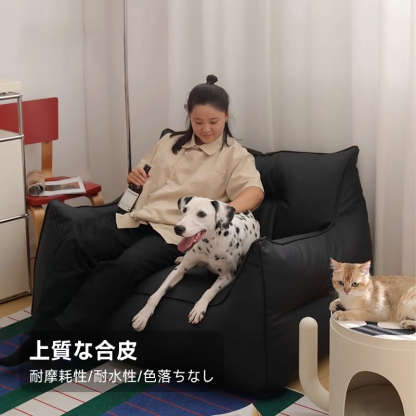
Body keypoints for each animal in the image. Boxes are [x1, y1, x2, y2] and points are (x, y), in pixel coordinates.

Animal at [132, 195, 260, 331]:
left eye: (201, 214)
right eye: (185, 209)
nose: (178, 228)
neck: (210, 245)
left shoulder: (227, 276)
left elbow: (209, 291)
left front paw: (199, 309)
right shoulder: (180, 270)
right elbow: (157, 292)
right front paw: (143, 314)